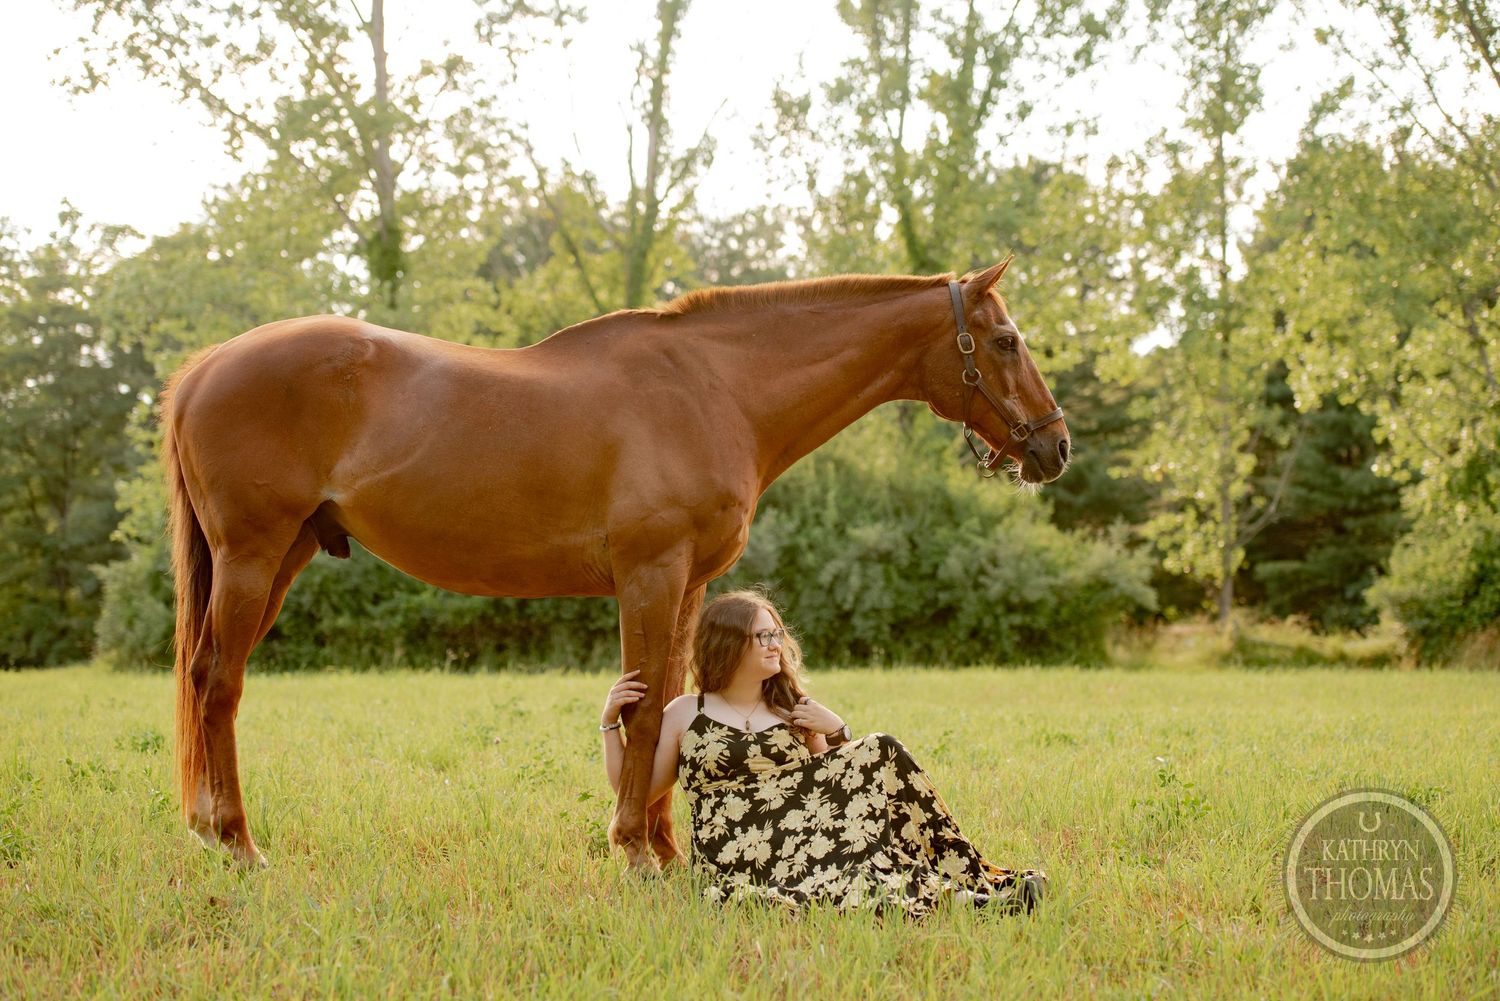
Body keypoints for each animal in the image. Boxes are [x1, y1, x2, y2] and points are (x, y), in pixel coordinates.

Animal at [159, 259, 1069, 871]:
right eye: (1005, 339)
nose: (1055, 446)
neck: (716, 388)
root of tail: (204, 367)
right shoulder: (650, 573)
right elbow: (639, 707)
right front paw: (633, 847)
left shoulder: (690, 582)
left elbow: (667, 700)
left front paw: (663, 846)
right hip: (254, 554)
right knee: (220, 681)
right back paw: (238, 842)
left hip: (284, 554)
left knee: (207, 674)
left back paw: (207, 828)